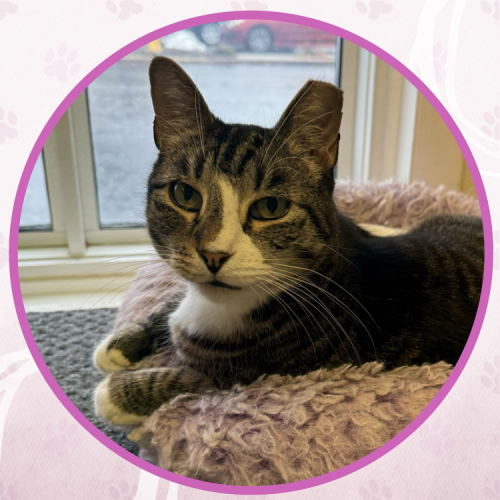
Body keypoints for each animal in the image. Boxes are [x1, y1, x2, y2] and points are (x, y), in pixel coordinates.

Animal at [93, 56, 484, 425]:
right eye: (185, 195)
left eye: (271, 207)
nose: (213, 255)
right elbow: (174, 299)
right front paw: (120, 344)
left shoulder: (266, 373)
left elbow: (195, 379)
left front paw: (117, 393)